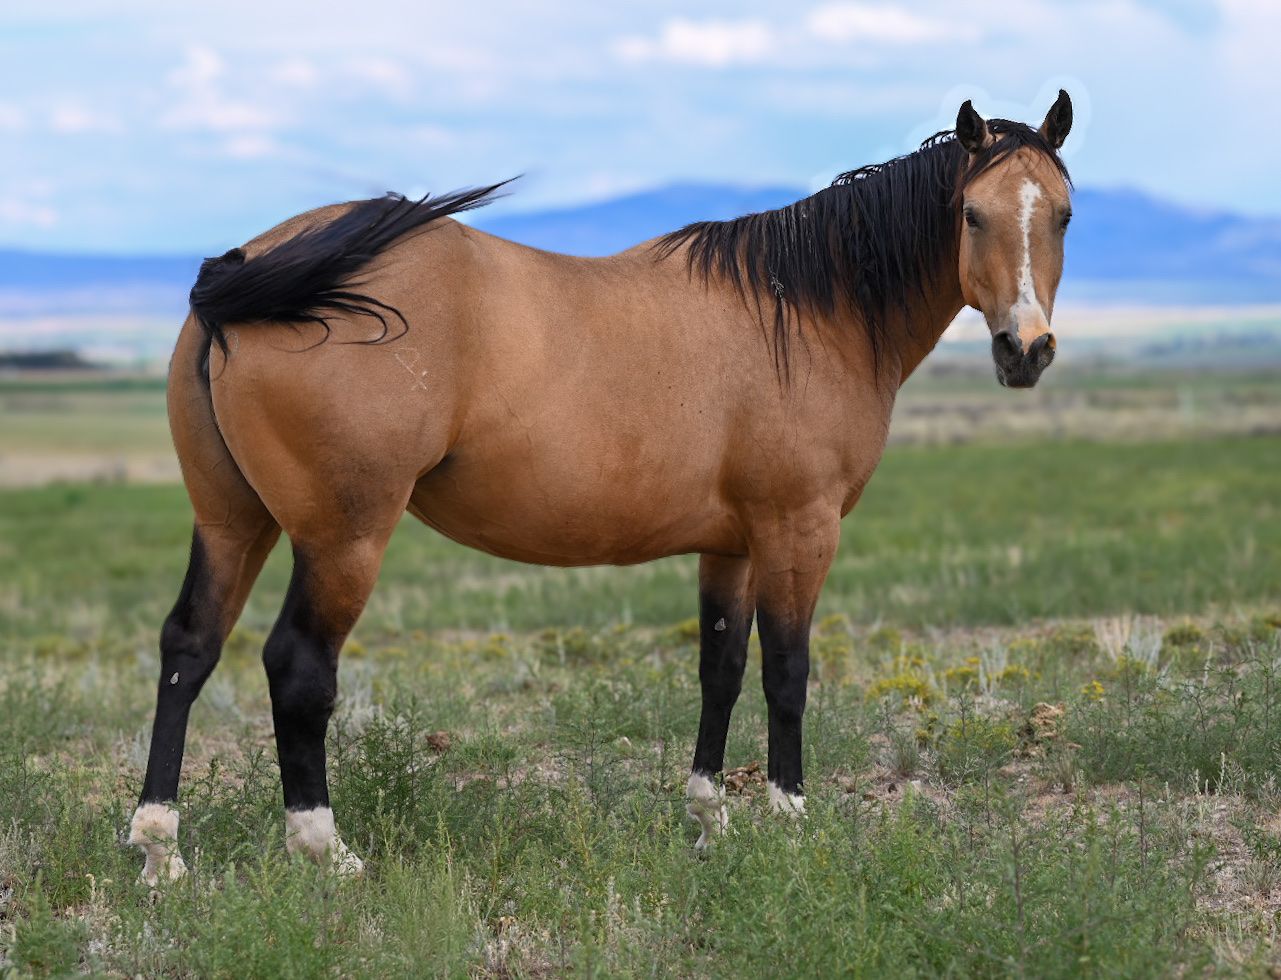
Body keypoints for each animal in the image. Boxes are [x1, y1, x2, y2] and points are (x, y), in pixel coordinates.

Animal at [129, 92, 1074, 883]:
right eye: (971, 213)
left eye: (1062, 214)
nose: (1024, 350)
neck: (805, 310)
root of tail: (253, 264)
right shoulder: (796, 529)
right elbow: (787, 671)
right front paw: (788, 821)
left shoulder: (731, 545)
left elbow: (721, 669)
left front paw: (707, 821)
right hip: (343, 537)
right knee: (297, 667)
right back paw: (327, 851)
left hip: (232, 522)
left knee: (189, 647)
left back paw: (160, 849)